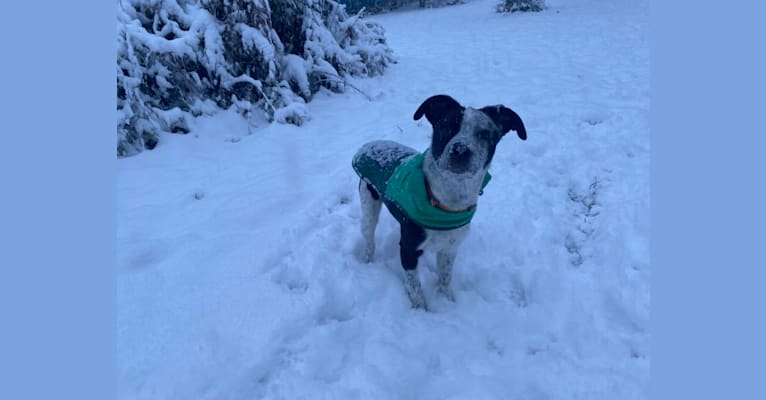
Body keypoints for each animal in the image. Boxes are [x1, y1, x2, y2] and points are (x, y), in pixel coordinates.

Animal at [354, 94, 528, 310]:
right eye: (446, 125)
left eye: (484, 134)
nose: (460, 150)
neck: (447, 205)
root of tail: (370, 144)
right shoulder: (408, 250)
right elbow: (415, 288)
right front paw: (421, 312)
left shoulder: (450, 248)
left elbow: (445, 278)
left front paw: (448, 303)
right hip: (368, 207)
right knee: (369, 240)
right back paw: (367, 261)